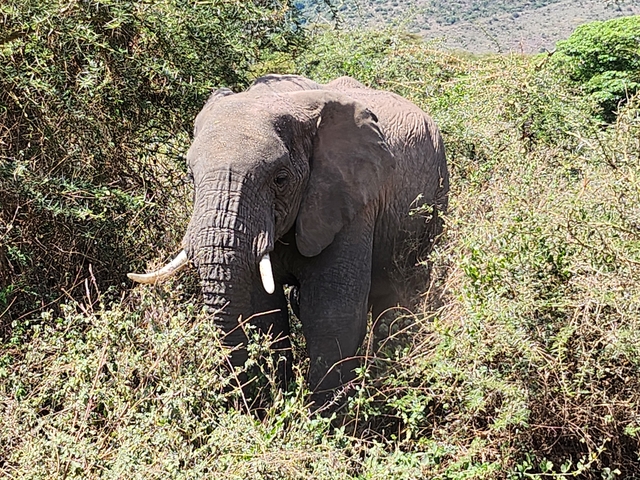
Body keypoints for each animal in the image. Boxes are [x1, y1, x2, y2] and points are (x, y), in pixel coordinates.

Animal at [128, 74, 449, 402]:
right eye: (191, 177)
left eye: (280, 179)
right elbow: (265, 313)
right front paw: (277, 399)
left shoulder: (350, 199)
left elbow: (331, 314)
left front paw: (319, 413)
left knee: (401, 292)